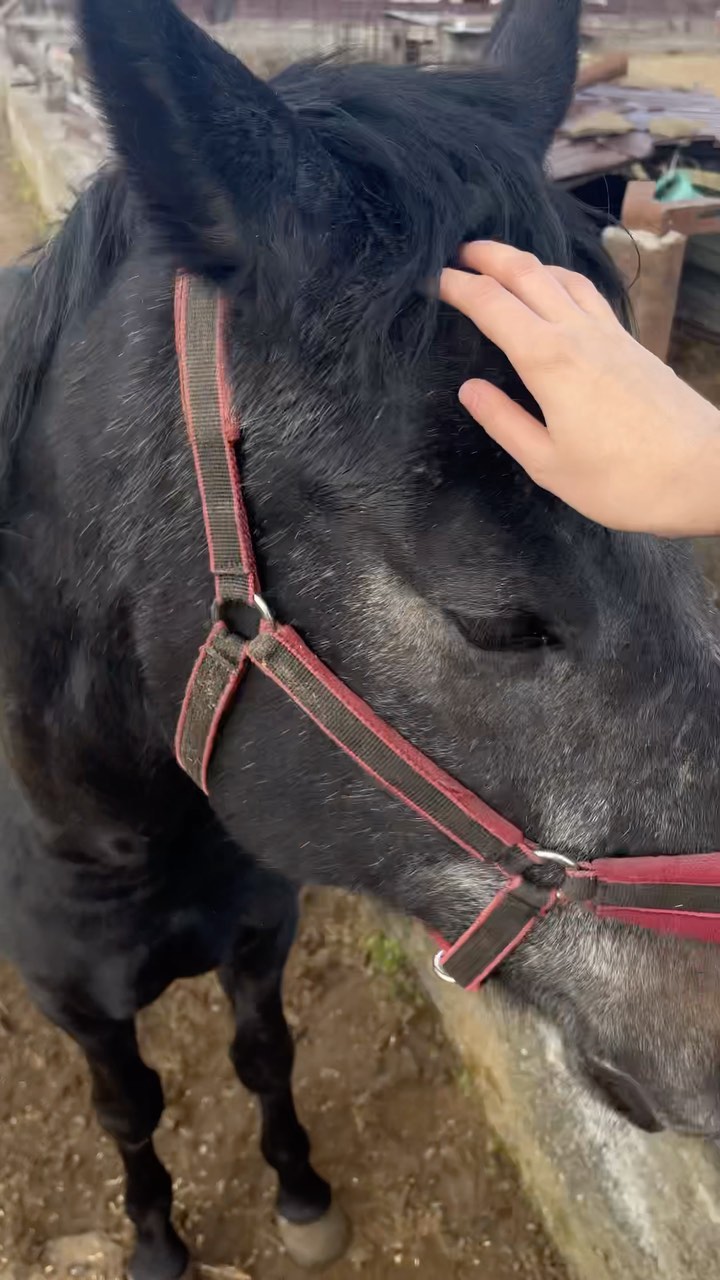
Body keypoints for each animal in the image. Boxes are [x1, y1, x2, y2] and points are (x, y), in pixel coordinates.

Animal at [2, 0, 720, 1276]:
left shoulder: (259, 936)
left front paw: (300, 1191)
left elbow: (265, 1056)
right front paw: (157, 1238)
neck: (131, 833)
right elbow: (129, 1108)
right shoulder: (78, 1003)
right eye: (491, 616)